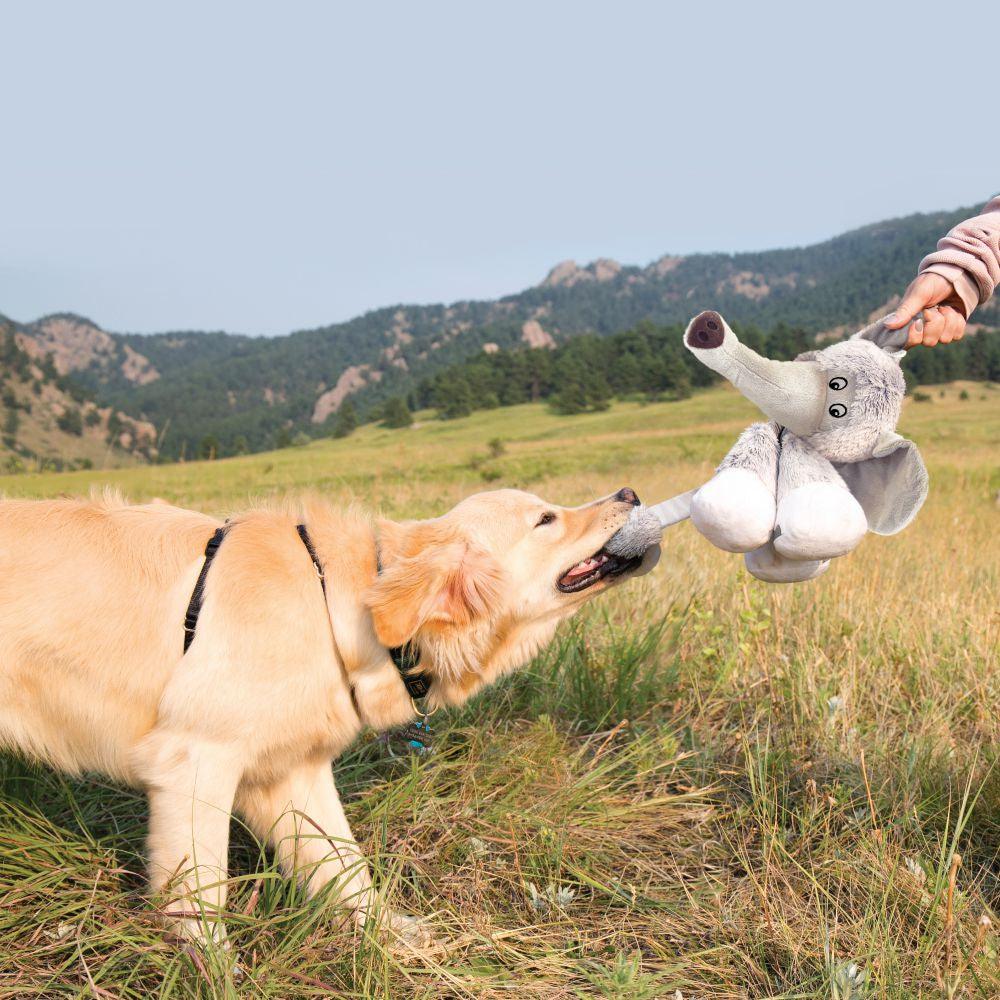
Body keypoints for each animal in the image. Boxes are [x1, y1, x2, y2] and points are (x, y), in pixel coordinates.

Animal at [0, 484, 660, 944]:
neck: (339, 604)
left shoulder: (290, 773)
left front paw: (397, 939)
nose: (630, 494)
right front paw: (212, 970)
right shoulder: (194, 760)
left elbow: (347, 869)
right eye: (545, 519)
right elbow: (202, 896)